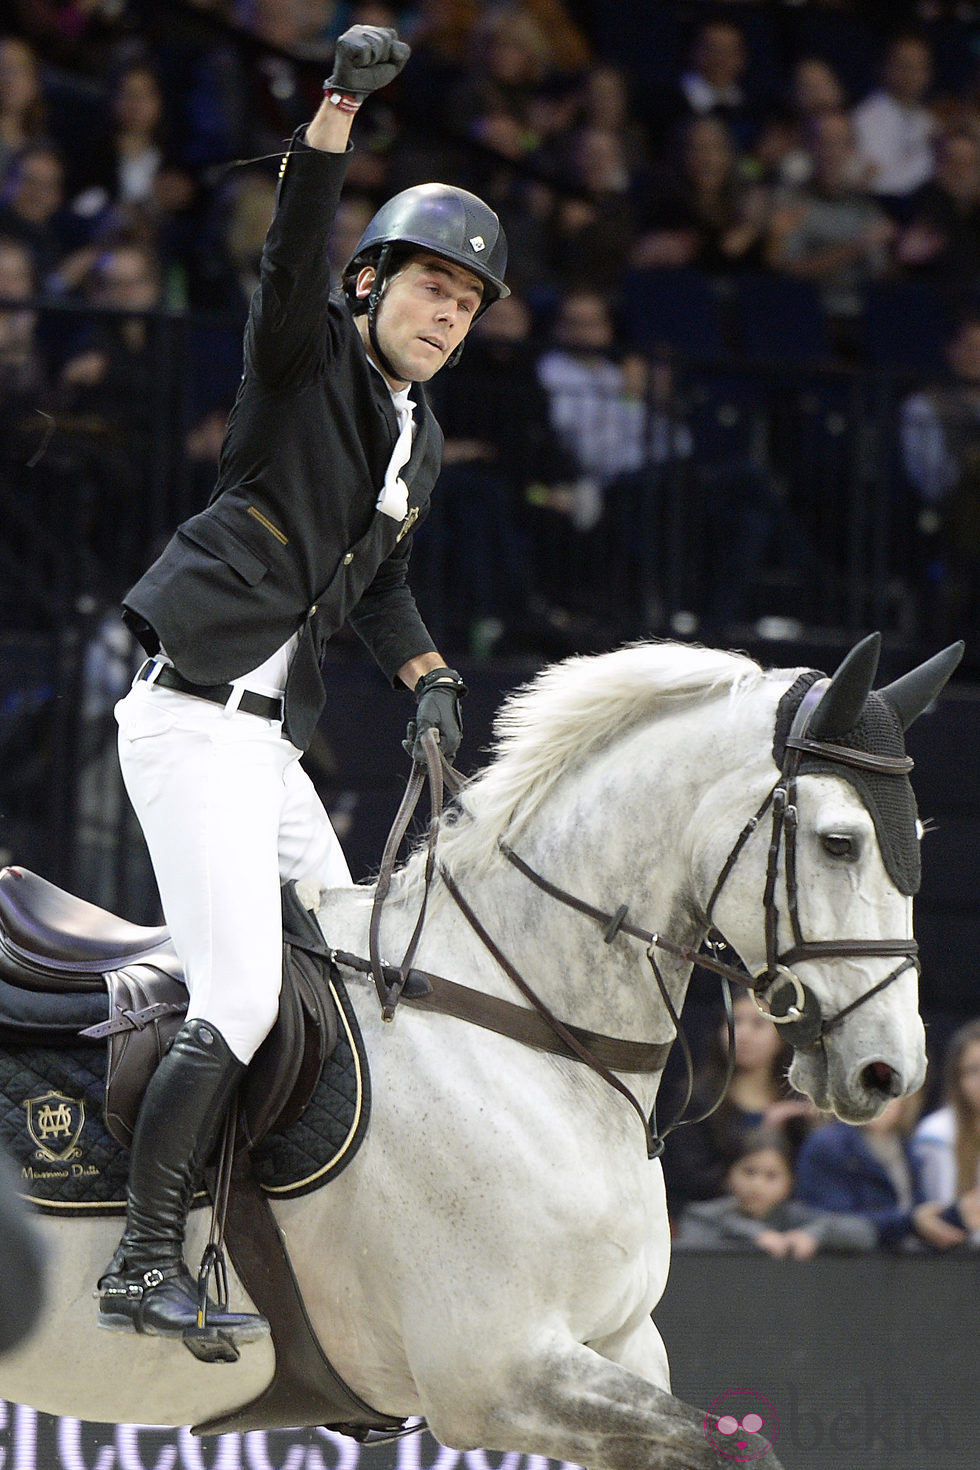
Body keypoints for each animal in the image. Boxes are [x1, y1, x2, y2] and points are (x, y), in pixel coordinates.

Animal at [0, 637, 963, 1470]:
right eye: (840, 843)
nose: (890, 1073)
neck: (519, 1027)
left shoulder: (618, 1347)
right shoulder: (499, 1374)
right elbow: (738, 1447)